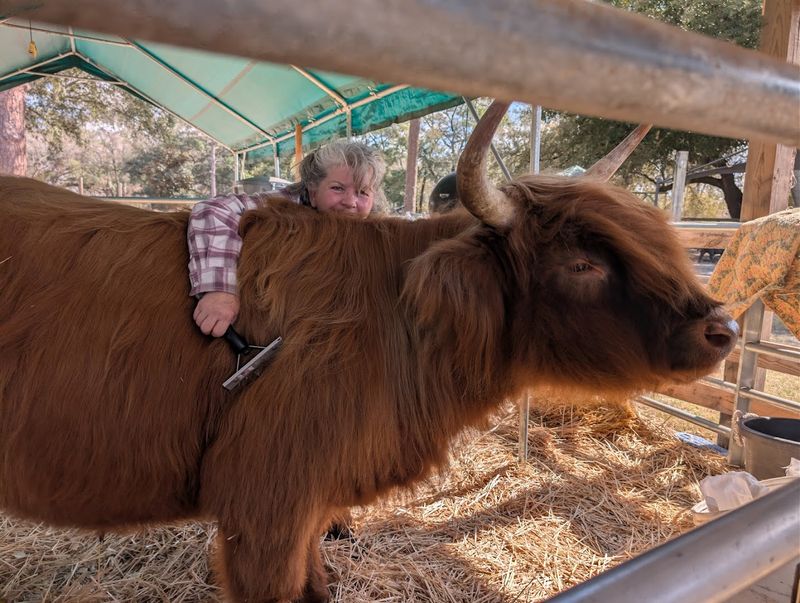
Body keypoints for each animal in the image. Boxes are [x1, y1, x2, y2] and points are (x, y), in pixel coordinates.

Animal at [0, 101, 737, 602]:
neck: (398, 325)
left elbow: (317, 580)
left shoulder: (309, 500)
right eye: (582, 263)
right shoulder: (263, 507)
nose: (722, 330)